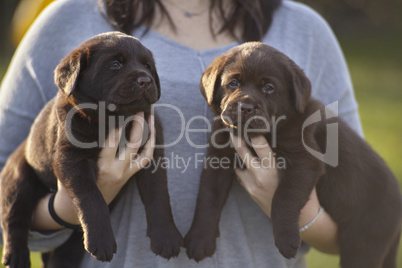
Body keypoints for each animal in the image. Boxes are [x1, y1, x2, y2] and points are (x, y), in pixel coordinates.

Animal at [0, 31, 183, 268]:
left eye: (148, 66)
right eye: (115, 64)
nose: (146, 80)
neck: (114, 120)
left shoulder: (151, 155)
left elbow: (158, 194)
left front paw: (166, 237)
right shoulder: (71, 159)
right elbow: (92, 197)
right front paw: (102, 241)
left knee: (65, 253)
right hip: (18, 177)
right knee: (14, 218)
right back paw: (16, 256)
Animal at [185, 43, 402, 266]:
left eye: (269, 88)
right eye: (233, 83)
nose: (246, 107)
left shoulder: (303, 160)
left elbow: (283, 197)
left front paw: (286, 240)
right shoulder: (218, 157)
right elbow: (208, 195)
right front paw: (200, 238)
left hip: (364, 242)